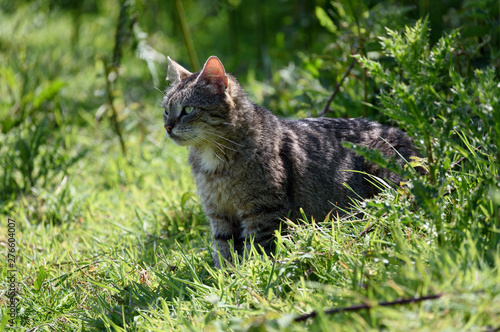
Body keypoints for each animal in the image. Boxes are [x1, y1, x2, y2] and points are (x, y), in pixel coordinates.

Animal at [163, 54, 418, 268]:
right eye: (166, 110)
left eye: (188, 109)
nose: (167, 127)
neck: (213, 157)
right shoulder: (218, 214)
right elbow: (223, 249)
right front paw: (225, 277)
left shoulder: (263, 210)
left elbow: (255, 247)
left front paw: (249, 273)